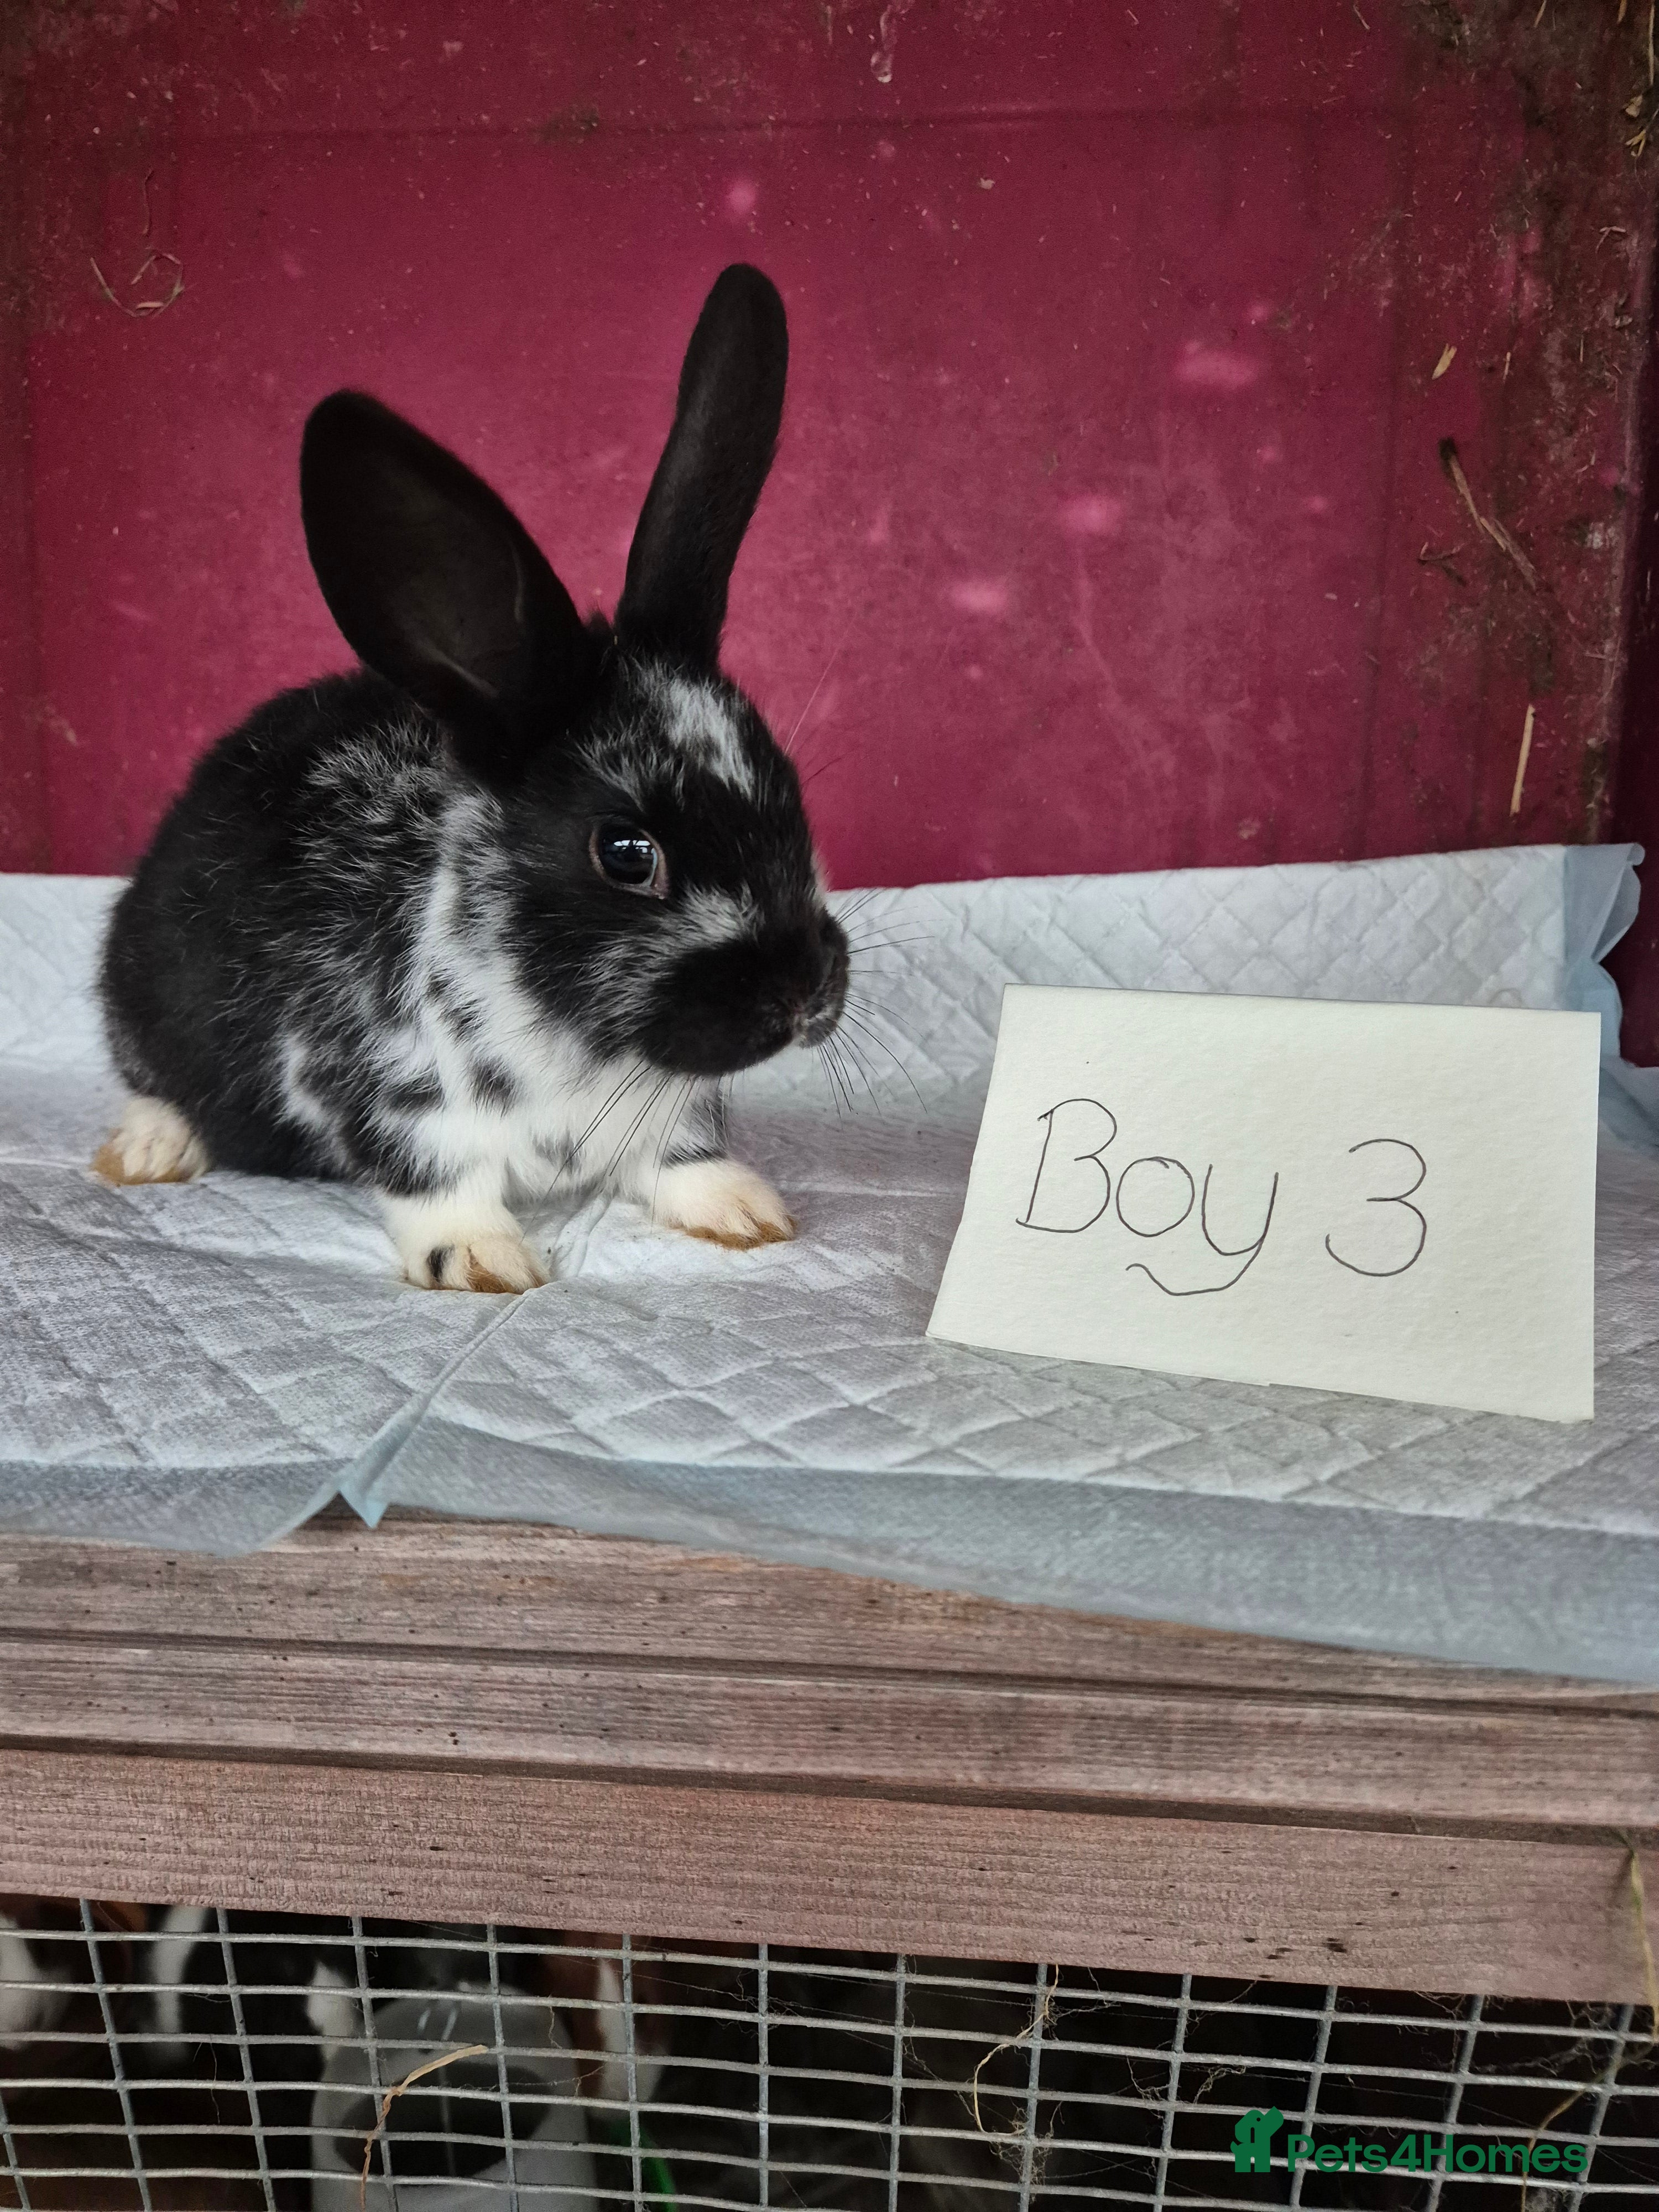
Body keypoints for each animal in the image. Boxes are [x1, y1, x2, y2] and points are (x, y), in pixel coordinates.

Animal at [94, 264, 848, 1292]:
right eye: (627, 853)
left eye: (788, 788)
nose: (808, 993)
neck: (580, 1035)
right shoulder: (388, 1090)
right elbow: (435, 1180)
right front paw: (487, 1263)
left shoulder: (670, 1109)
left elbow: (678, 1156)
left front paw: (742, 1209)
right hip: (138, 993)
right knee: (149, 1078)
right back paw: (149, 1150)